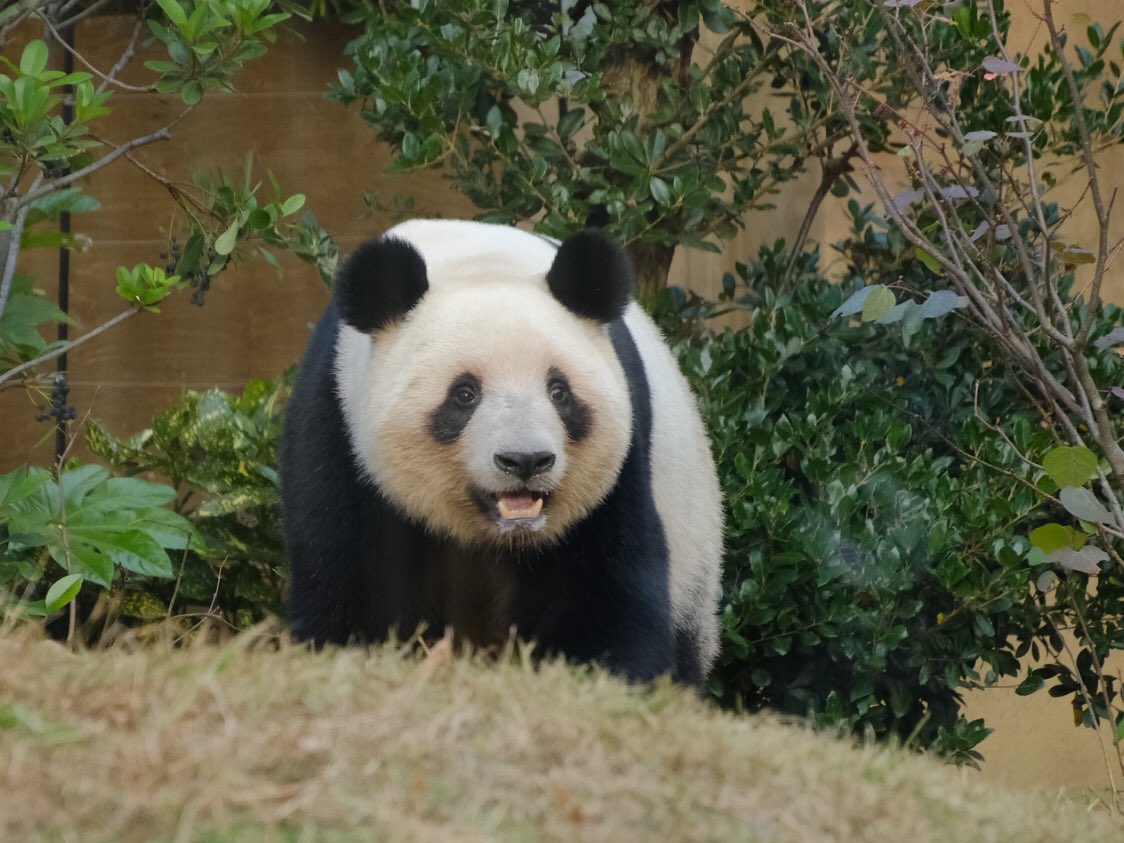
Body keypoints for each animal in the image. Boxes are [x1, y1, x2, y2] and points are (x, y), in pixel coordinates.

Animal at [280, 219, 723, 684]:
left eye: (559, 391)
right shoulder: (339, 426)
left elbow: (607, 587)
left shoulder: (623, 461)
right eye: (464, 394)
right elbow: (355, 583)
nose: (525, 460)